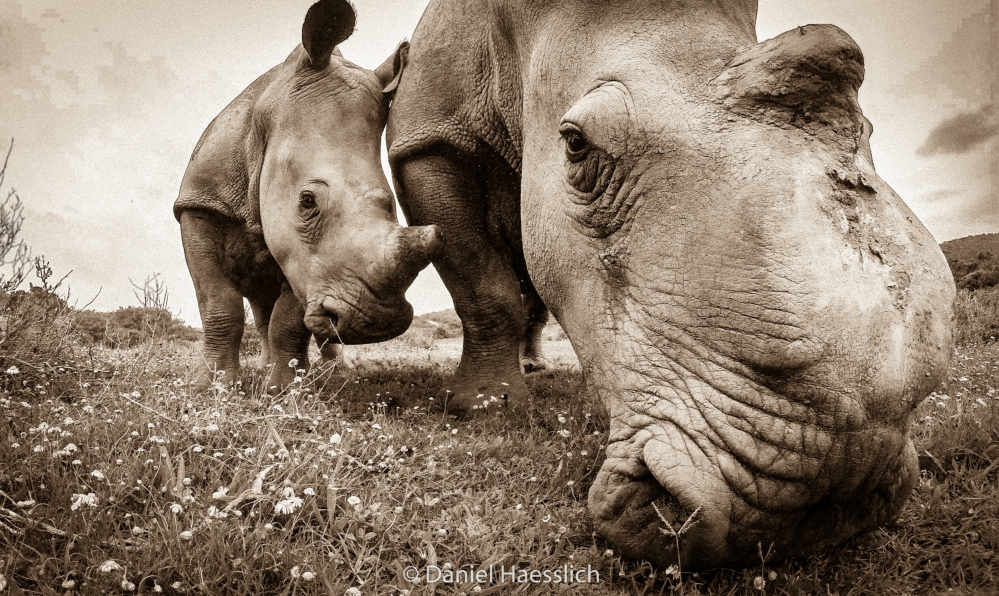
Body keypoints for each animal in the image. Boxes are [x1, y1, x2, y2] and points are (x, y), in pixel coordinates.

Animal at [176, 0, 441, 390]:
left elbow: (289, 320)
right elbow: (219, 305)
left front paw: (285, 391)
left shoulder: (300, 255)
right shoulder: (200, 206)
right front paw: (212, 387)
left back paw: (335, 373)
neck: (263, 128)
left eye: (390, 203)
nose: (376, 324)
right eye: (307, 201)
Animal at [387, 0, 956, 569]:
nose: (830, 496)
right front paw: (483, 410)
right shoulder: (428, 138)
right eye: (576, 144)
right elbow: (484, 287)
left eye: (871, 128)